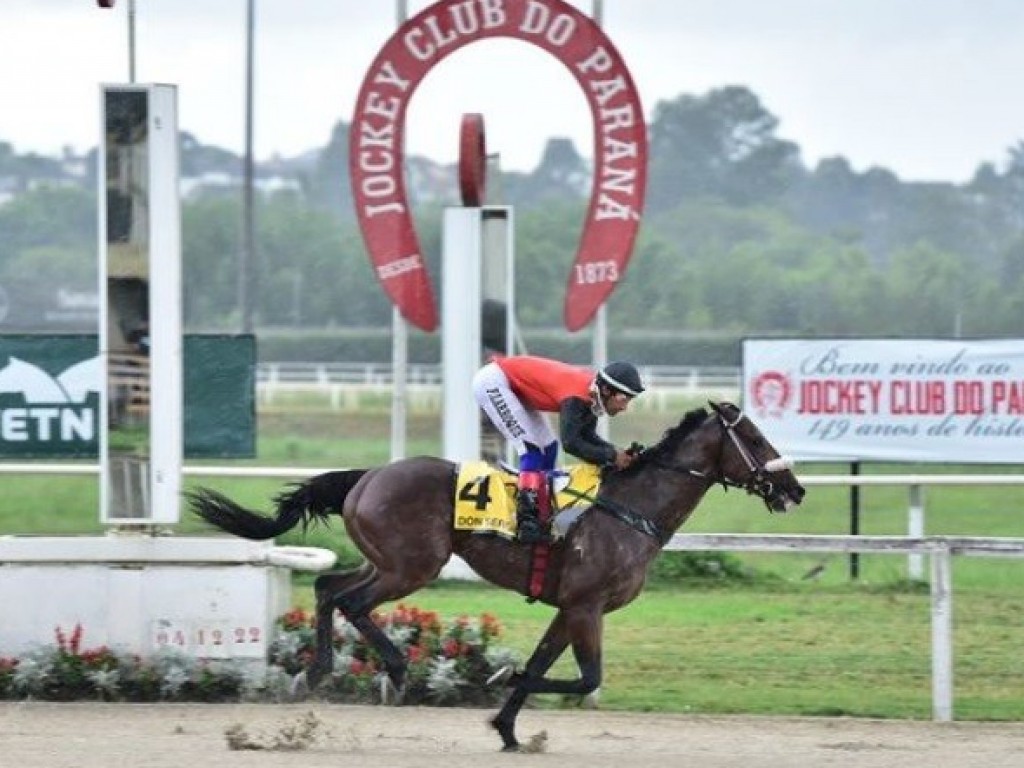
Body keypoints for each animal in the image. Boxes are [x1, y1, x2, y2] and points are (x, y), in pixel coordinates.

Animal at [188, 403, 802, 753]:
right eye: (756, 438)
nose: (794, 488)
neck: (631, 508)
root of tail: (369, 475)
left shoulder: (571, 607)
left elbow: (545, 665)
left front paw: (507, 727)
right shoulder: (587, 605)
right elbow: (585, 677)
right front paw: (499, 677)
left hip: (384, 560)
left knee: (327, 589)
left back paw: (315, 672)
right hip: (413, 565)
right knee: (354, 604)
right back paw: (391, 669)